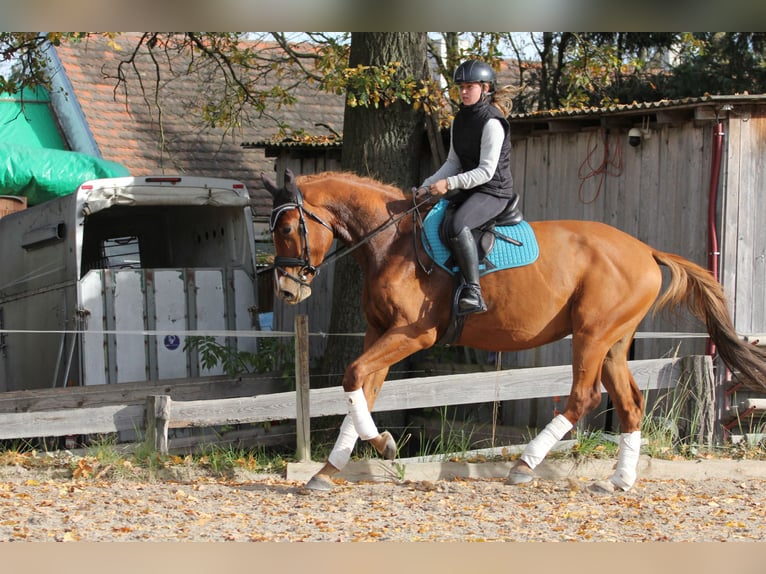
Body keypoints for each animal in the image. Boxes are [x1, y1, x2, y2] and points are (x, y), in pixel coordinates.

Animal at [262, 169, 766, 493]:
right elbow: (360, 392)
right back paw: (619, 481)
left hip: (591, 335)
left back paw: (524, 465)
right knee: (629, 403)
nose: (286, 289)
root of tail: (645, 250)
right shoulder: (378, 333)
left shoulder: (411, 334)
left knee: (583, 397)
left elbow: (352, 378)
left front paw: (381, 444)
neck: (392, 242)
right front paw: (328, 471)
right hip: (614, 342)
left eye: (286, 227)